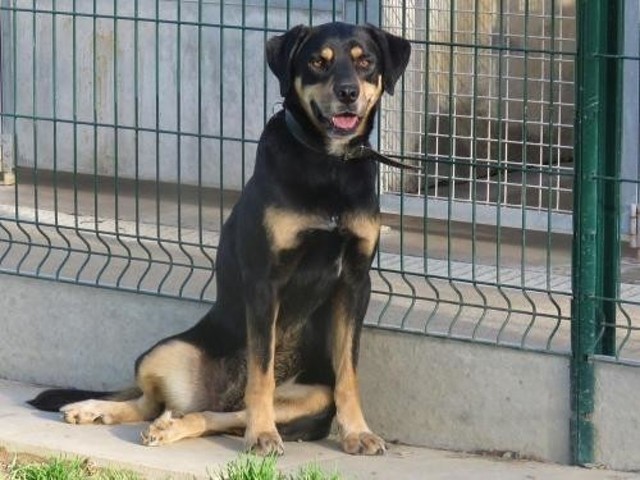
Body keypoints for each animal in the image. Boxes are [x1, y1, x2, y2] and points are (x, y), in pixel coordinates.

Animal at [27, 21, 410, 458]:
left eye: (366, 62)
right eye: (317, 61)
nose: (347, 92)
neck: (329, 164)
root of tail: (214, 395)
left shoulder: (355, 282)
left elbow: (348, 373)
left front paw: (357, 431)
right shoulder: (264, 280)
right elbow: (261, 372)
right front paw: (262, 435)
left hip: (312, 396)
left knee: (209, 414)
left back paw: (169, 426)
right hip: (165, 351)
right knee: (154, 401)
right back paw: (94, 409)